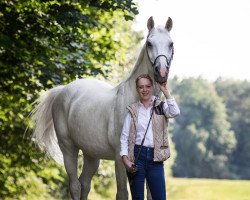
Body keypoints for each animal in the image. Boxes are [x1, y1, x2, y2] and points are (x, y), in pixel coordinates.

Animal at [31, 16, 174, 199]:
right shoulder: (121, 160)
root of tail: (62, 90)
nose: (161, 72)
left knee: (85, 184)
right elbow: (122, 194)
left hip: (91, 155)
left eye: (171, 43)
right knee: (75, 185)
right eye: (149, 43)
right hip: (68, 148)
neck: (137, 98)